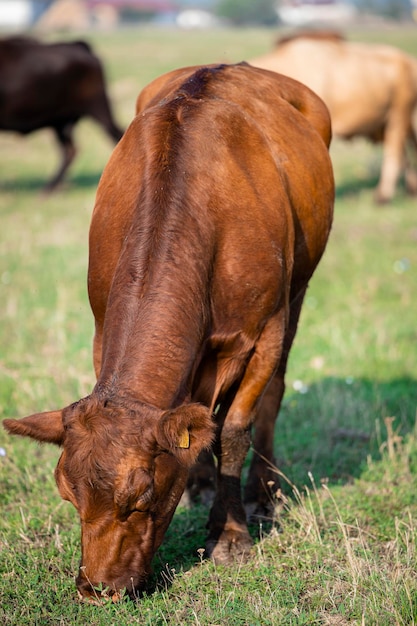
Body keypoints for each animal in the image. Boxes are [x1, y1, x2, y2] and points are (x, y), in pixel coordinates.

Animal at [0, 36, 123, 190]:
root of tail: (78, 45)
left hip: (98, 108)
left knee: (116, 135)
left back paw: (49, 188)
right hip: (61, 122)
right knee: (70, 150)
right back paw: (52, 187)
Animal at [3, 62, 334, 600]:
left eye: (142, 494)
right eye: (67, 493)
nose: (97, 589)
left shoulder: (265, 330)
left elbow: (234, 429)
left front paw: (232, 535)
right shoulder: (101, 329)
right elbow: (201, 424)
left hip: (299, 289)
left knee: (273, 393)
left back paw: (262, 492)